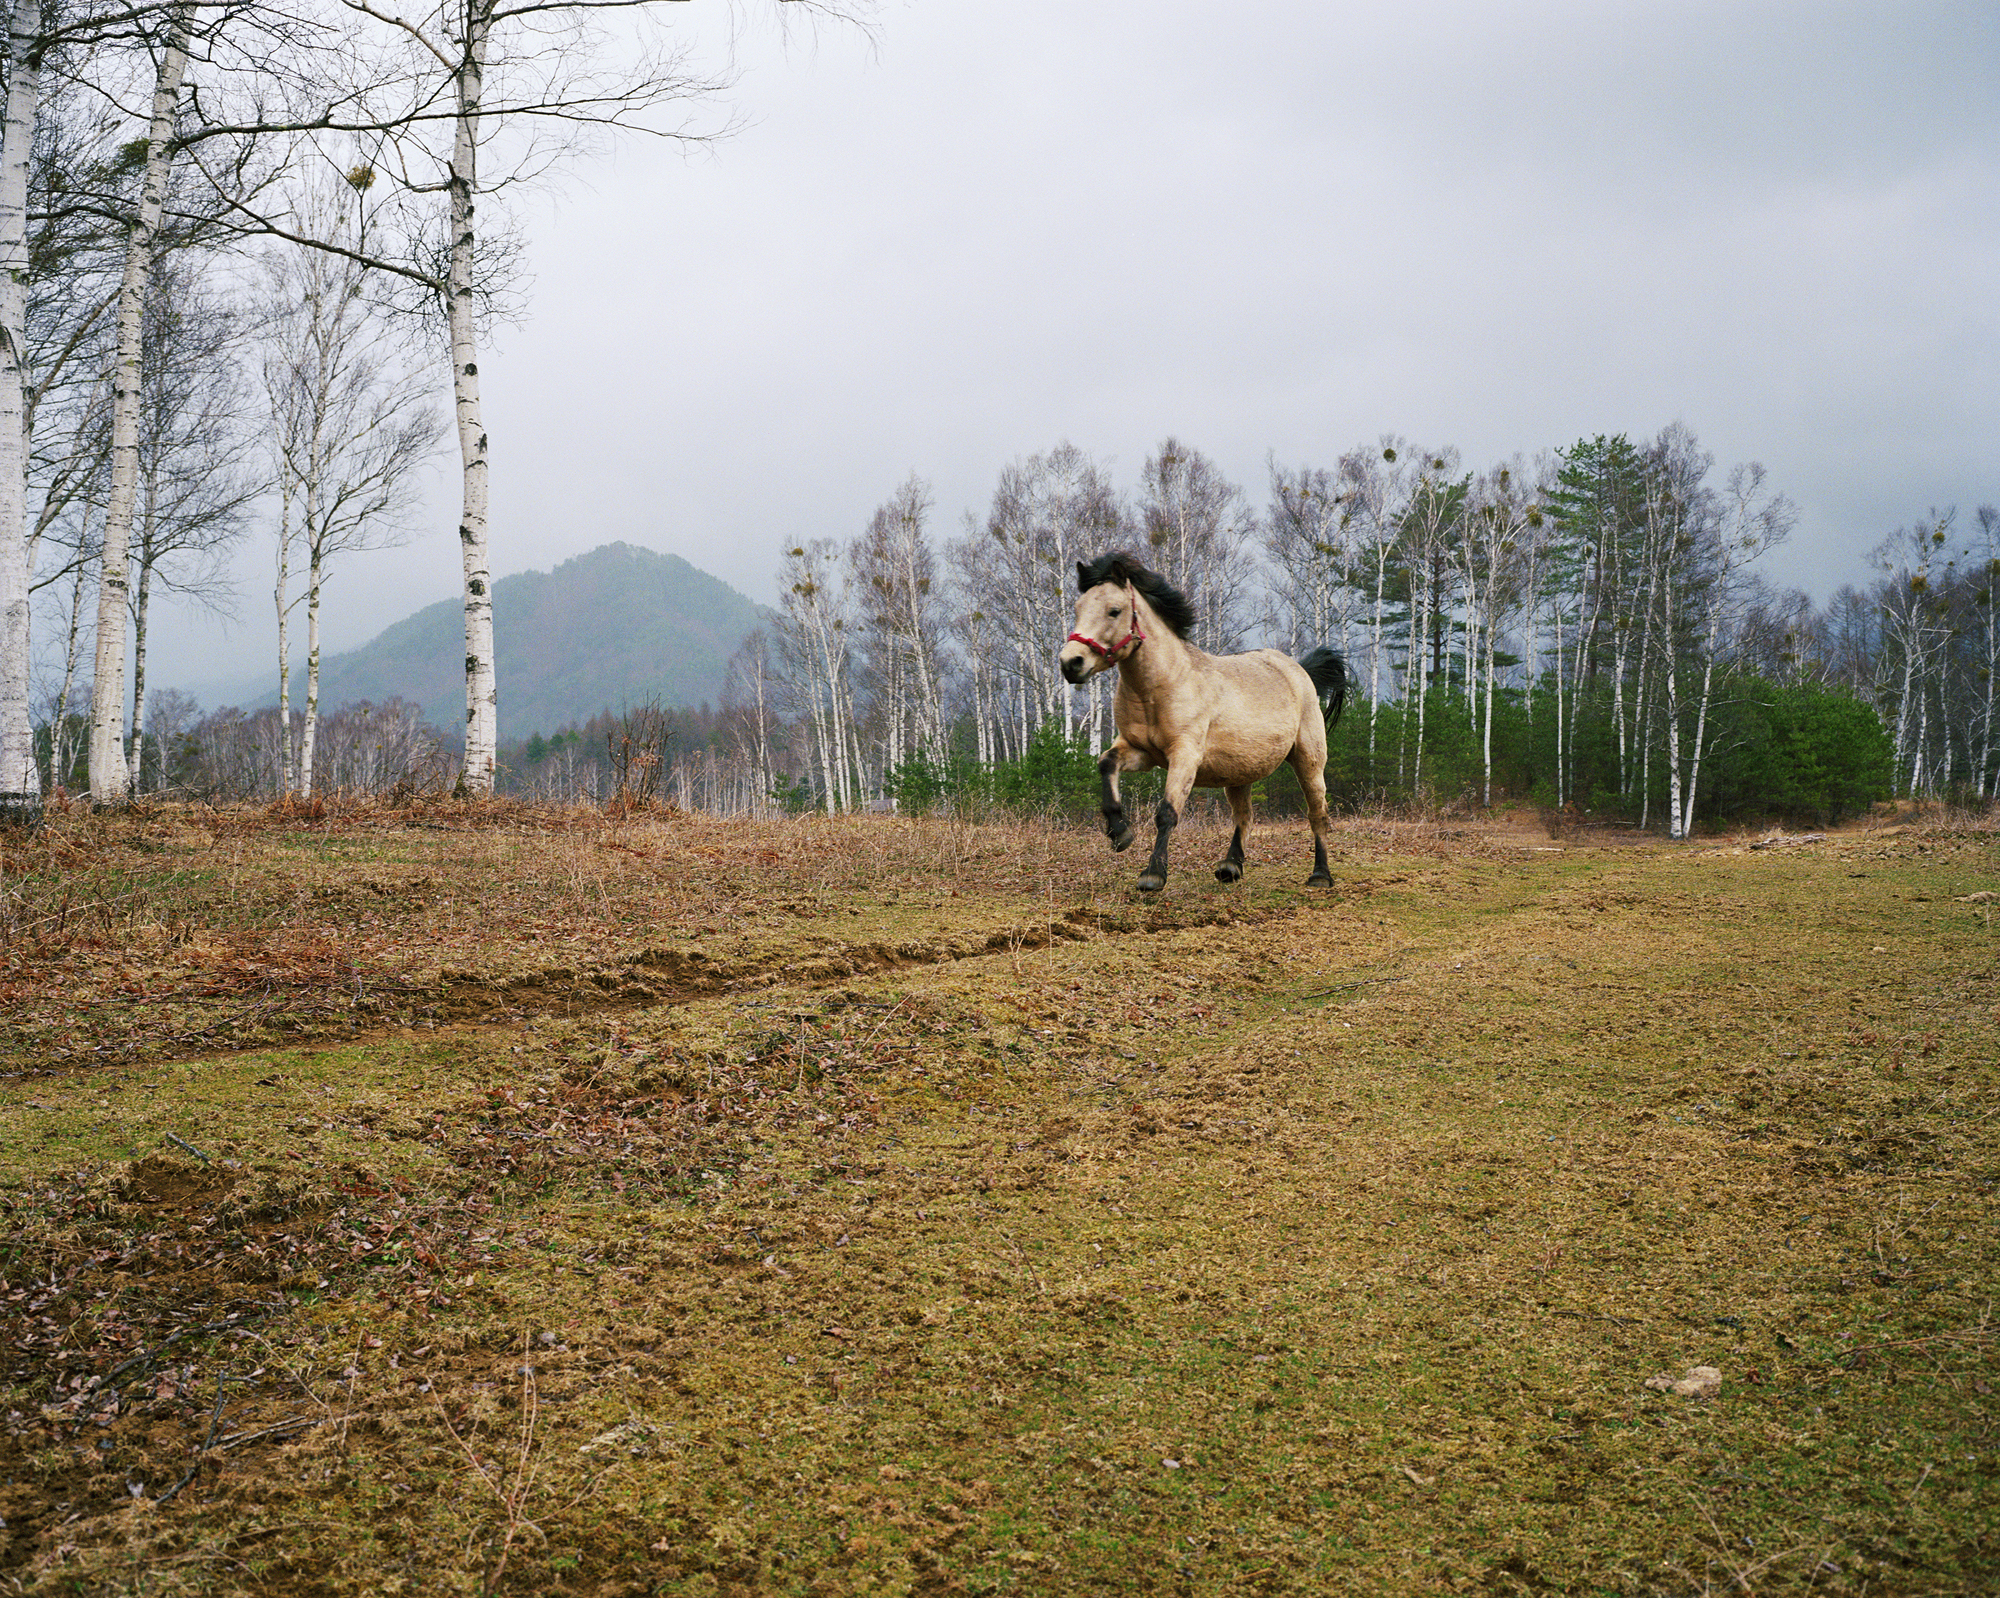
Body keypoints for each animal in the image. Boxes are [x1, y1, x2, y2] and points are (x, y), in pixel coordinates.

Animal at [1056, 556, 1352, 892]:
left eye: (1114, 610)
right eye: (1078, 608)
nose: (1071, 663)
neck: (1161, 687)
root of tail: (1299, 670)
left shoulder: (1185, 756)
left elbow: (1167, 813)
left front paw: (1153, 875)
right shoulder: (1140, 751)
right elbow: (1106, 764)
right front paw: (1120, 833)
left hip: (1309, 762)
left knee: (1318, 815)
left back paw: (1320, 875)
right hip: (1239, 773)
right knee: (1244, 816)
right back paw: (1231, 866)